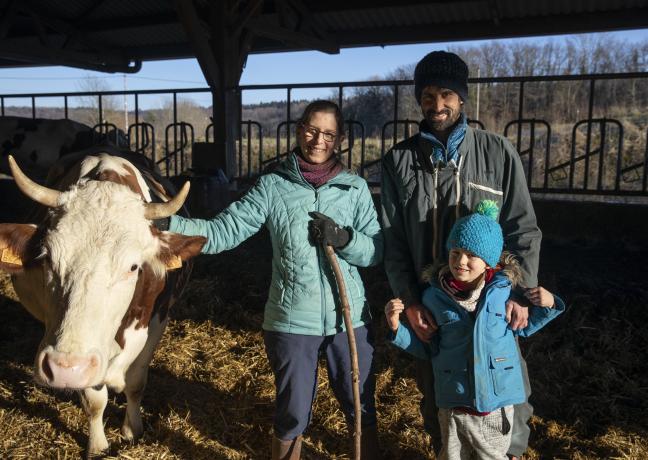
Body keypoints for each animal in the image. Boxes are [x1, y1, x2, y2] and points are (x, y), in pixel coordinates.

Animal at [0, 150, 205, 456]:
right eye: (48, 259)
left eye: (133, 266)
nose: (64, 368)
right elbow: (95, 400)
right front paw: (98, 446)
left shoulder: (157, 321)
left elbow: (136, 383)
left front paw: (132, 430)